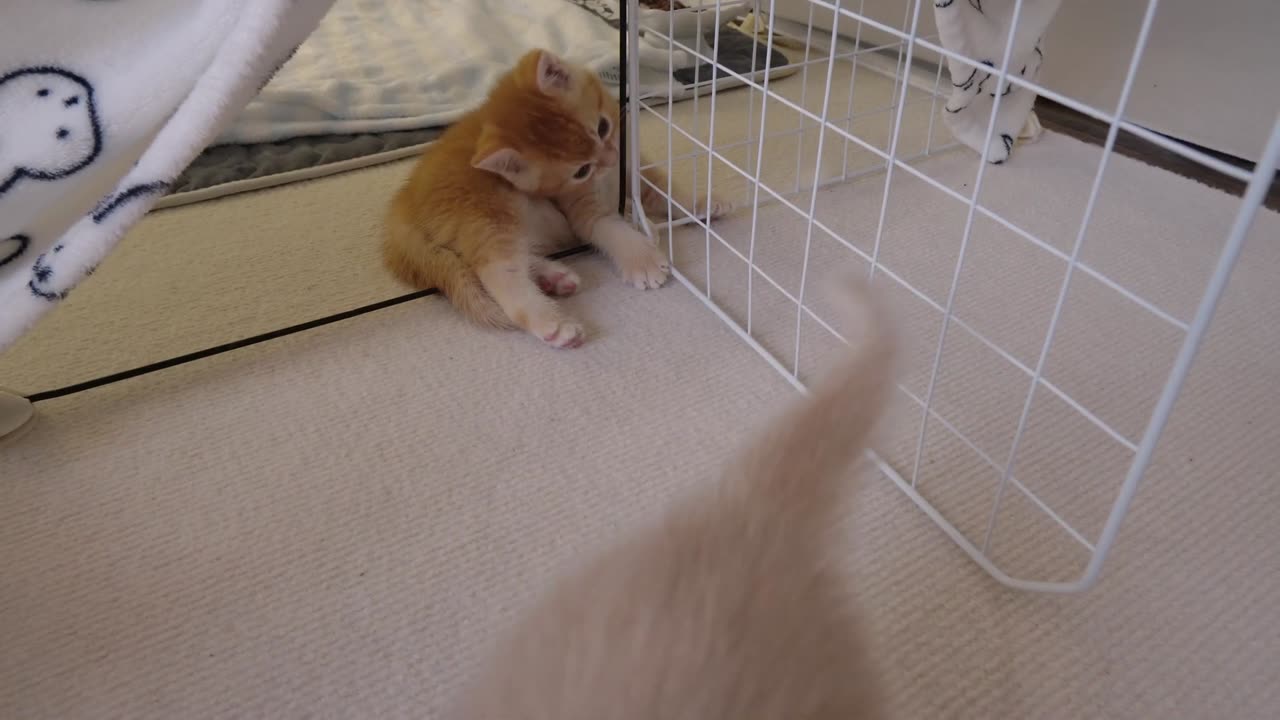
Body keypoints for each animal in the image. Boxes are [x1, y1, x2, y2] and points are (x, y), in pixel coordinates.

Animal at [384, 49, 716, 348]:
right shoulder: (579, 206)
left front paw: (698, 205)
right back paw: (552, 323)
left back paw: (552, 278)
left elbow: (663, 190)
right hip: (490, 211)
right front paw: (642, 260)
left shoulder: (633, 169)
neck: (608, 178)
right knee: (495, 269)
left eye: (603, 127)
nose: (610, 159)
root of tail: (403, 202)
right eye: (581, 171)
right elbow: (609, 227)